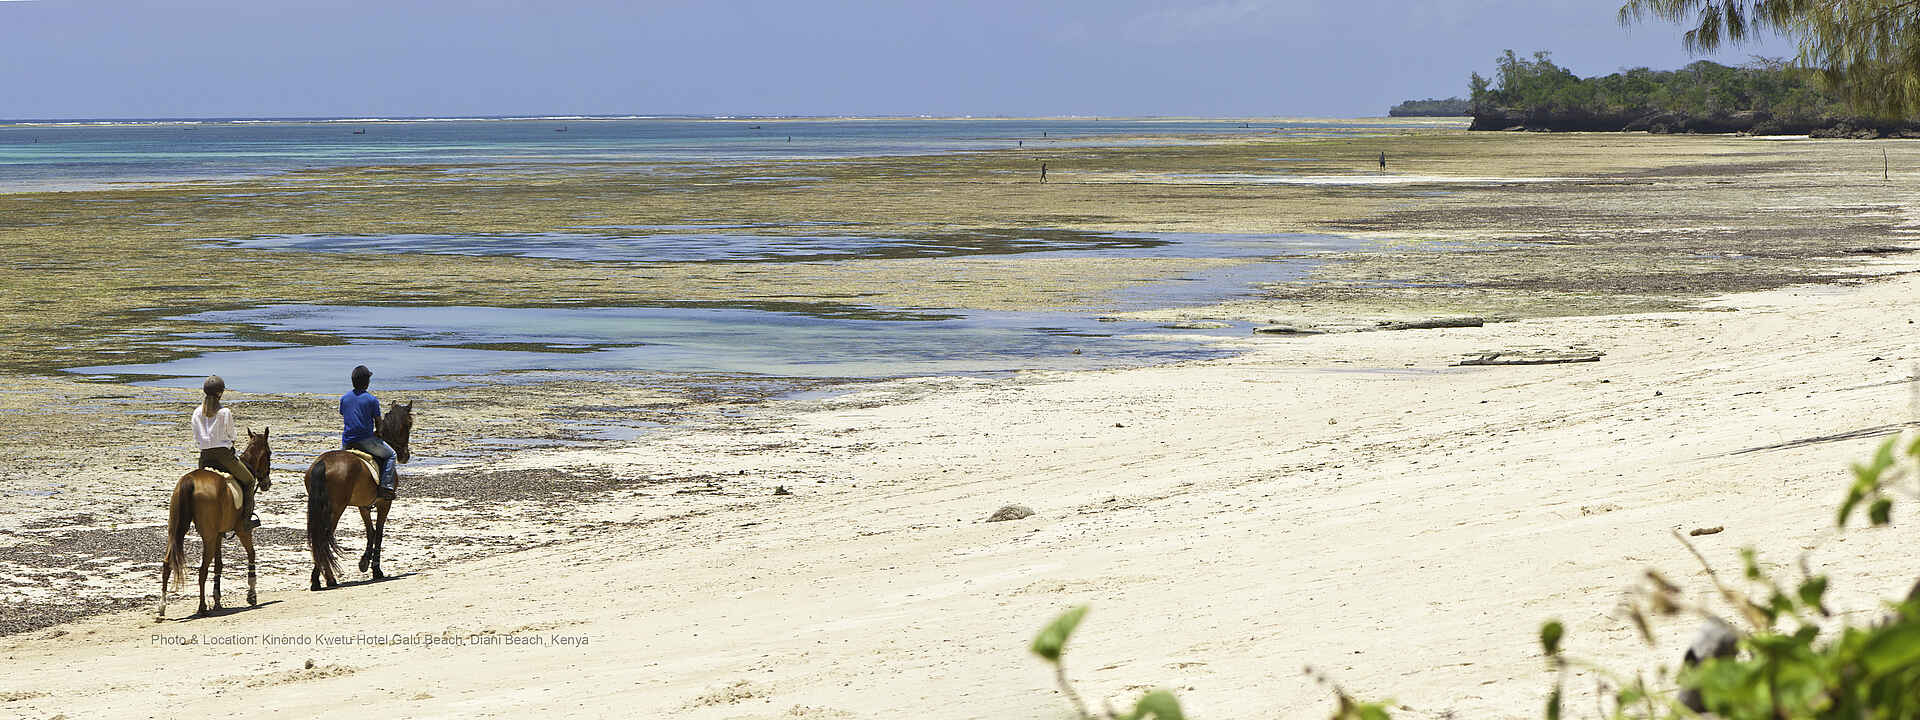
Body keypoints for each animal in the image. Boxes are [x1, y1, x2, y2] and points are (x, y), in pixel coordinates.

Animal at [158, 428, 273, 618]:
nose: (267, 484)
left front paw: (218, 599)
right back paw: (202, 607)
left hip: (175, 532)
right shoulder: (242, 530)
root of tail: (189, 480)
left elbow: (219, 565)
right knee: (202, 570)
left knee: (168, 564)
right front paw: (251, 595)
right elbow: (251, 554)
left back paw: (162, 607)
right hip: (209, 537)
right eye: (269, 453)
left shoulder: (219, 533)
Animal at [304, 401, 413, 590]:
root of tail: (322, 463)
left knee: (318, 539)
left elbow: (371, 532)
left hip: (318, 509)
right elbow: (379, 533)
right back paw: (329, 579)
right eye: (409, 424)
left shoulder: (364, 506)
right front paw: (376, 570)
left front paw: (364, 563)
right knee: (324, 537)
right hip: (336, 509)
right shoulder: (385, 503)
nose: (405, 456)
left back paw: (318, 580)